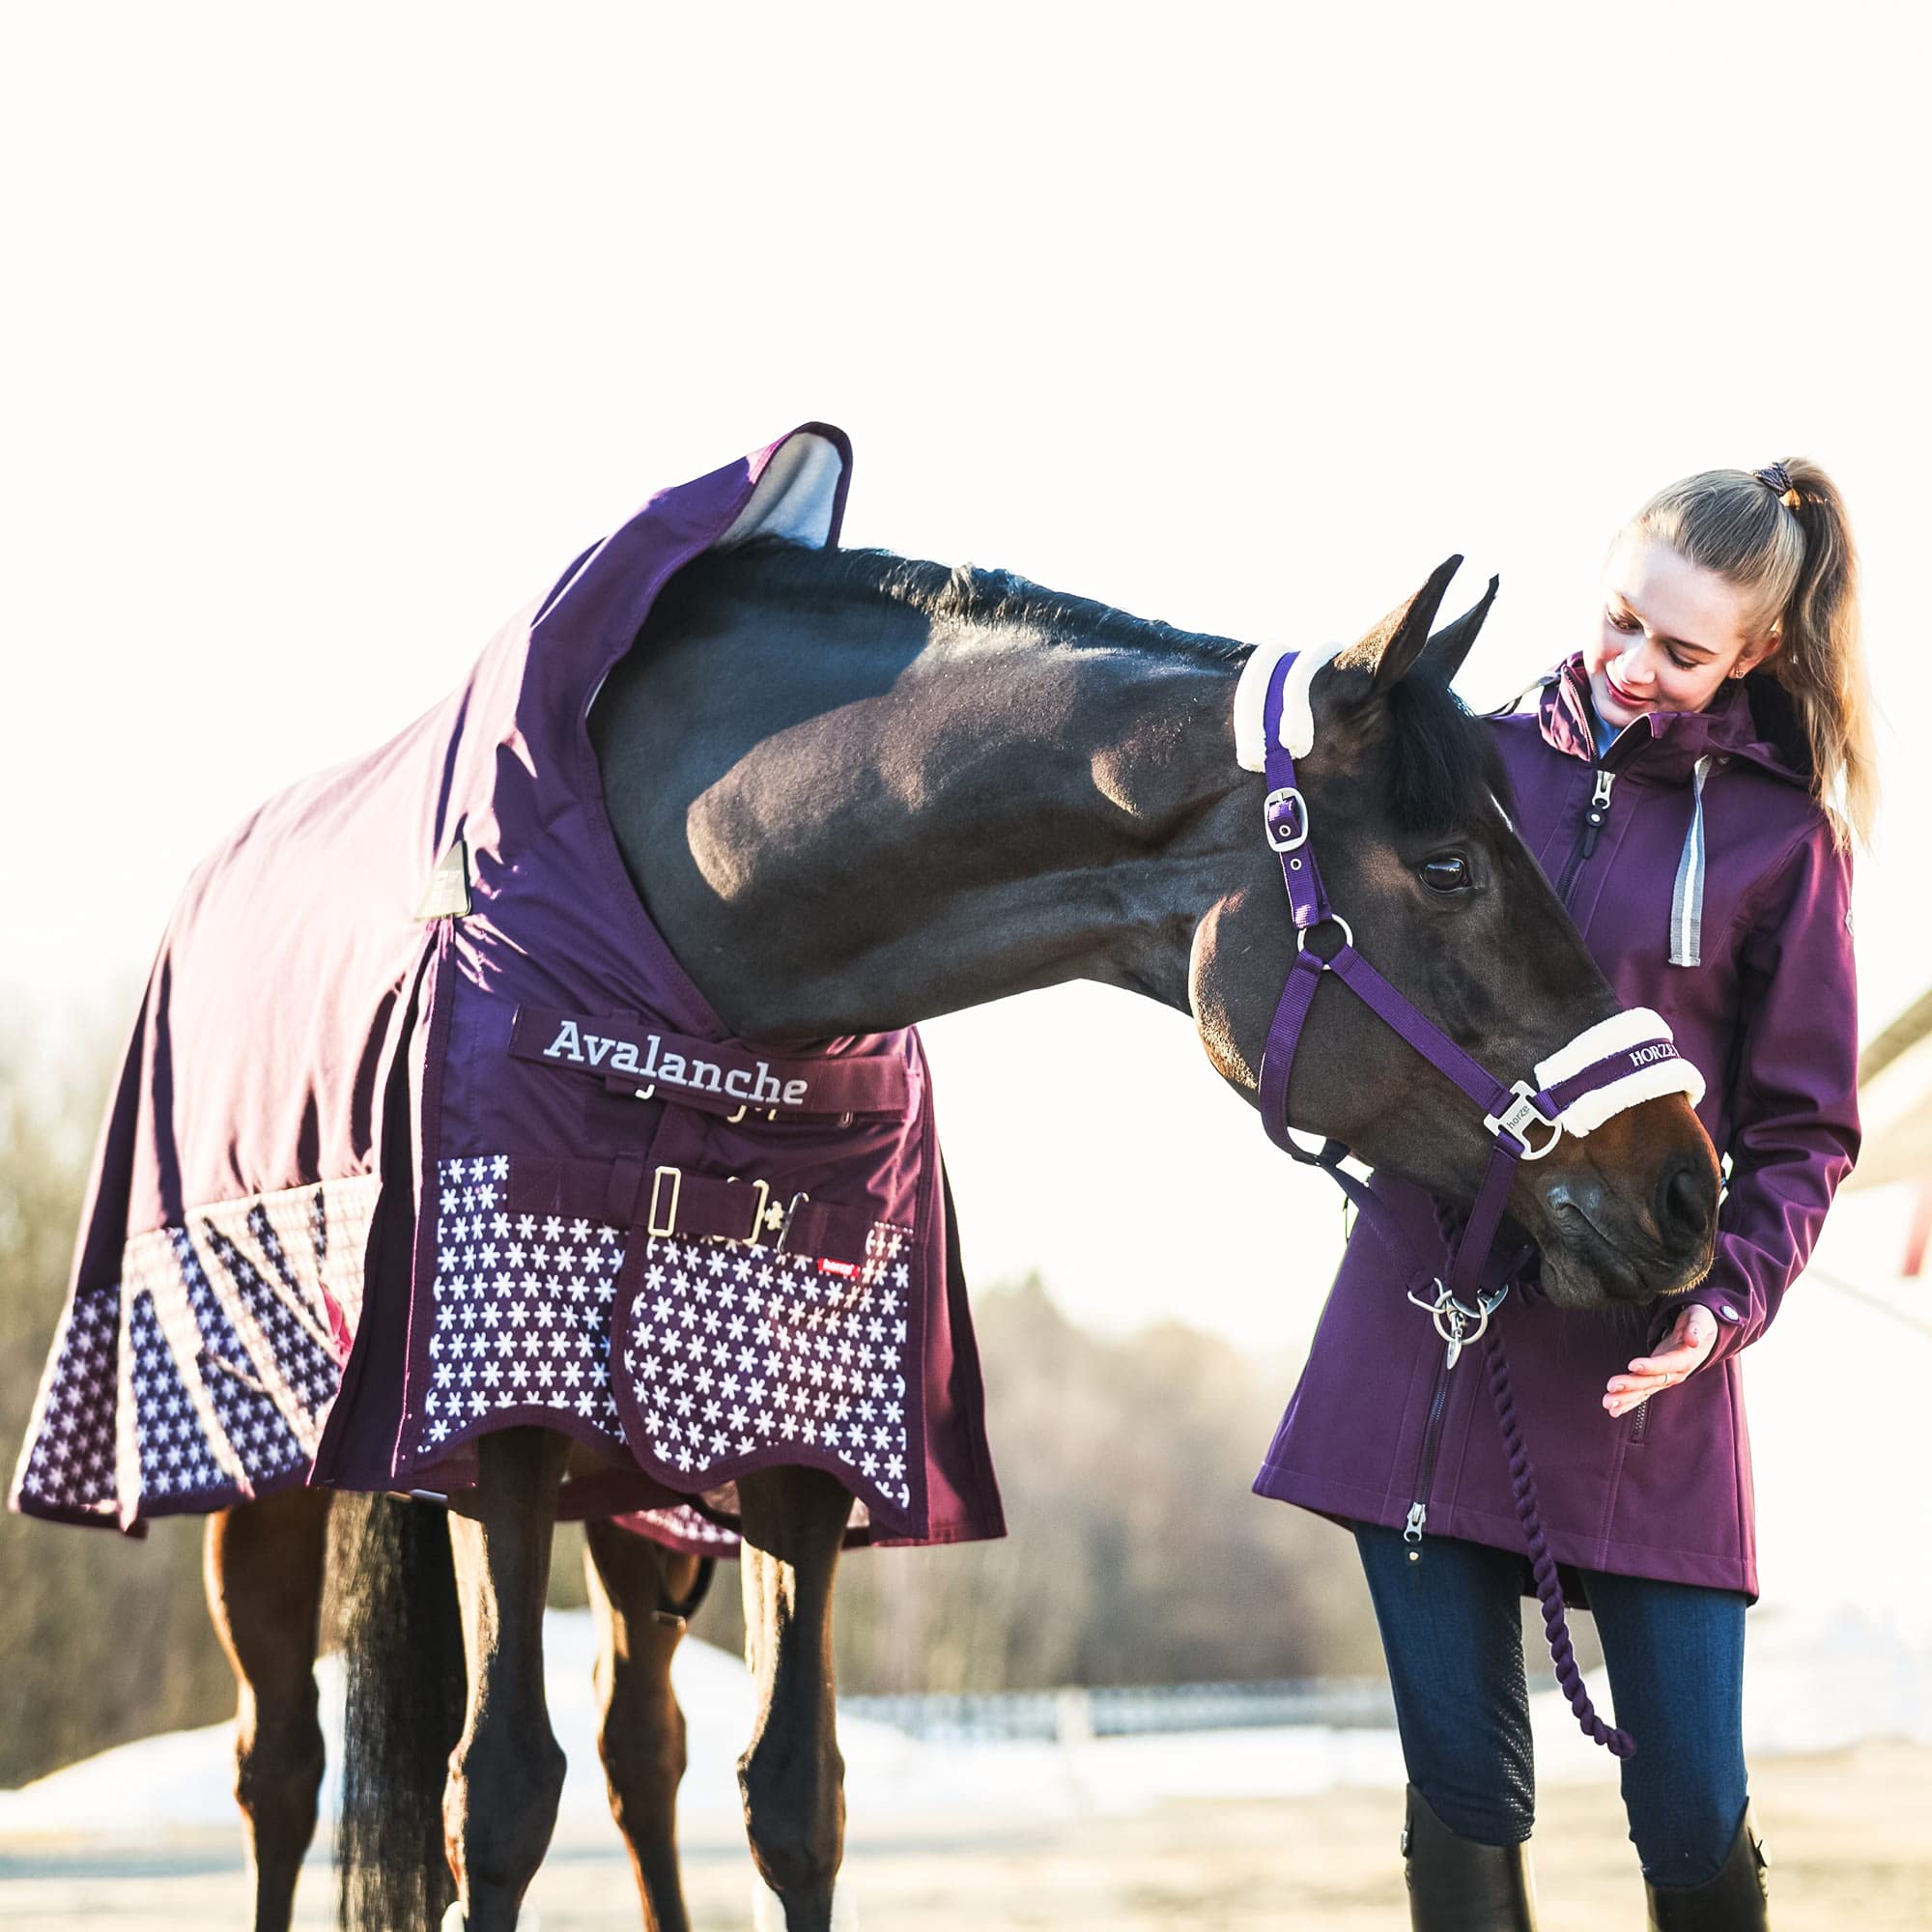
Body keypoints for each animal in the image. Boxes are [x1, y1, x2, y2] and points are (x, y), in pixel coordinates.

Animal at [185, 525, 1720, 1932]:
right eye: (1450, 866)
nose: (1686, 1187)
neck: (708, 940)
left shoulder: (801, 1440)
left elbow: (794, 1797)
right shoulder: (501, 1429)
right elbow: (498, 1795)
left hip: (636, 1503)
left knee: (639, 1754)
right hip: (271, 1467)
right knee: (283, 1765)